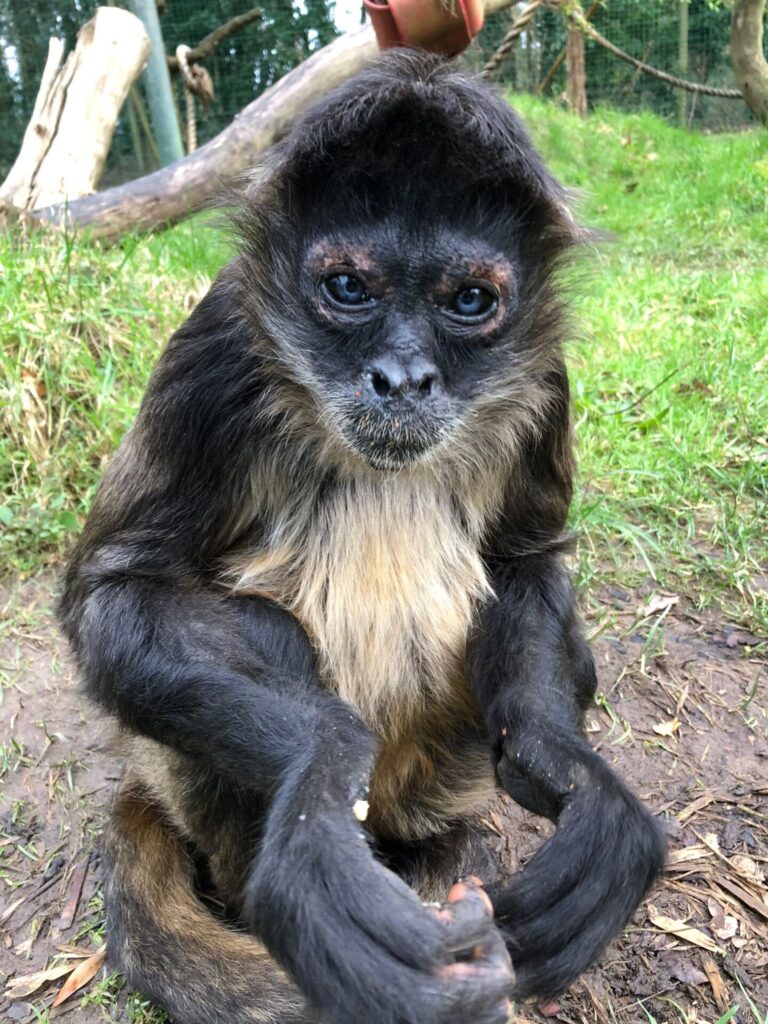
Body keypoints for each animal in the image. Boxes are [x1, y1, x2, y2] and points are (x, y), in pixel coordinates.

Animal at [58, 50, 665, 1024]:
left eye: (469, 300)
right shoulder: (220, 339)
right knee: (264, 632)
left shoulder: (547, 375)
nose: (404, 376)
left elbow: (525, 562)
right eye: (348, 288)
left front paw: (574, 773)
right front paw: (315, 790)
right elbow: (114, 591)